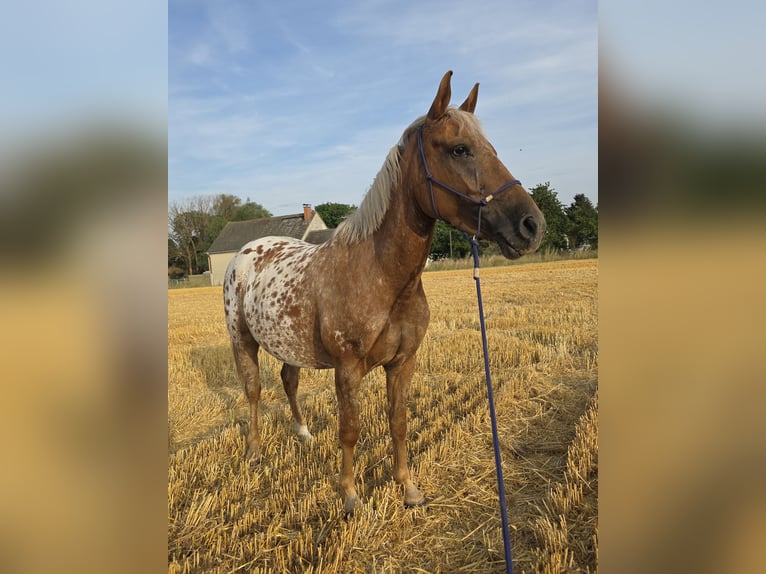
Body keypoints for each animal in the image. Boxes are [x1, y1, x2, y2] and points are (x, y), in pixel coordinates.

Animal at [223, 71, 545, 515]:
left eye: (491, 149)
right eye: (460, 149)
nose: (532, 225)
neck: (383, 278)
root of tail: (245, 252)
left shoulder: (403, 362)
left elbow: (398, 422)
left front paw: (407, 488)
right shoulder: (347, 369)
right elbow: (350, 430)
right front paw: (350, 495)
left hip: (289, 344)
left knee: (289, 380)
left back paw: (304, 434)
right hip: (243, 340)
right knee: (253, 391)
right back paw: (254, 452)